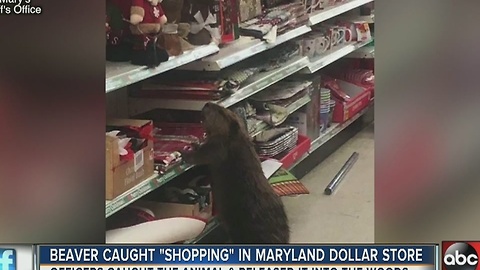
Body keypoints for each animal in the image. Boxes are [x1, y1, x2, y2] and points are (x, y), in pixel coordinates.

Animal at [183, 102, 288, 244]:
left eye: (220, 111)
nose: (207, 104)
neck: (236, 137)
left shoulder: (219, 146)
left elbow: (203, 155)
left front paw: (185, 153)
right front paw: (194, 144)